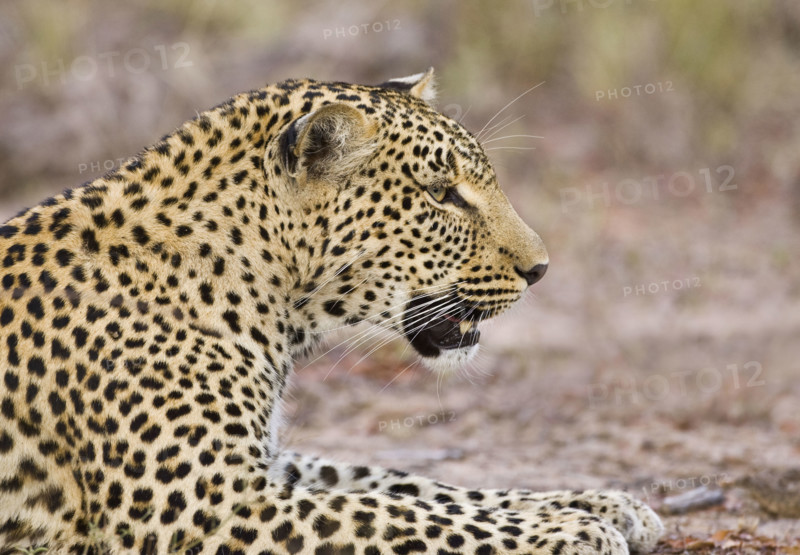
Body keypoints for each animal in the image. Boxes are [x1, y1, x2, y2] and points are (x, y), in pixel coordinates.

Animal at [0, 68, 663, 554]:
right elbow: (395, 515)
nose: (540, 269)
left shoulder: (267, 466)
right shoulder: (204, 504)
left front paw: (599, 503)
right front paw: (572, 529)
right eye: (440, 194)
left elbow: (409, 484)